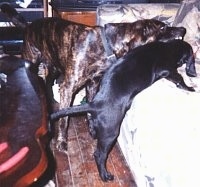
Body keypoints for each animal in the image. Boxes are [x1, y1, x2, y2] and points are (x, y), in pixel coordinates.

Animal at [50, 40, 196, 182]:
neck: (169, 47)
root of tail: (95, 104)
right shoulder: (167, 69)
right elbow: (179, 79)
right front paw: (190, 88)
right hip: (111, 133)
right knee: (99, 155)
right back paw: (105, 175)